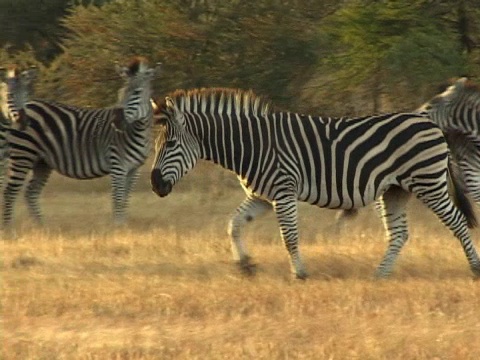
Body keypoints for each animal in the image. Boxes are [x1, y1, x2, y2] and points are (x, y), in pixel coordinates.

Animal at [2, 56, 159, 231]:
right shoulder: (118, 165)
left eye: (136, 93)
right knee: (10, 192)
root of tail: (27, 105)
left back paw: (42, 227)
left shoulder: (134, 169)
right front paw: (118, 227)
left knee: (30, 192)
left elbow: (125, 198)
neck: (138, 132)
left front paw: (124, 225)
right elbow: (118, 198)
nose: (116, 122)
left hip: (42, 162)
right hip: (23, 154)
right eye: (121, 92)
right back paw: (8, 229)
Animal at [151, 87, 480, 278]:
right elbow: (233, 224)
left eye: (170, 144)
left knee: (457, 222)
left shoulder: (283, 191)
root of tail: (431, 122)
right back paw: (379, 275)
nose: (155, 185)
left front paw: (300, 273)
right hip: (395, 190)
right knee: (399, 234)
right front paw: (245, 264)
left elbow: (289, 237)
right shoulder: (262, 196)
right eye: (155, 145)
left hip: (428, 183)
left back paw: (475, 268)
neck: (251, 145)